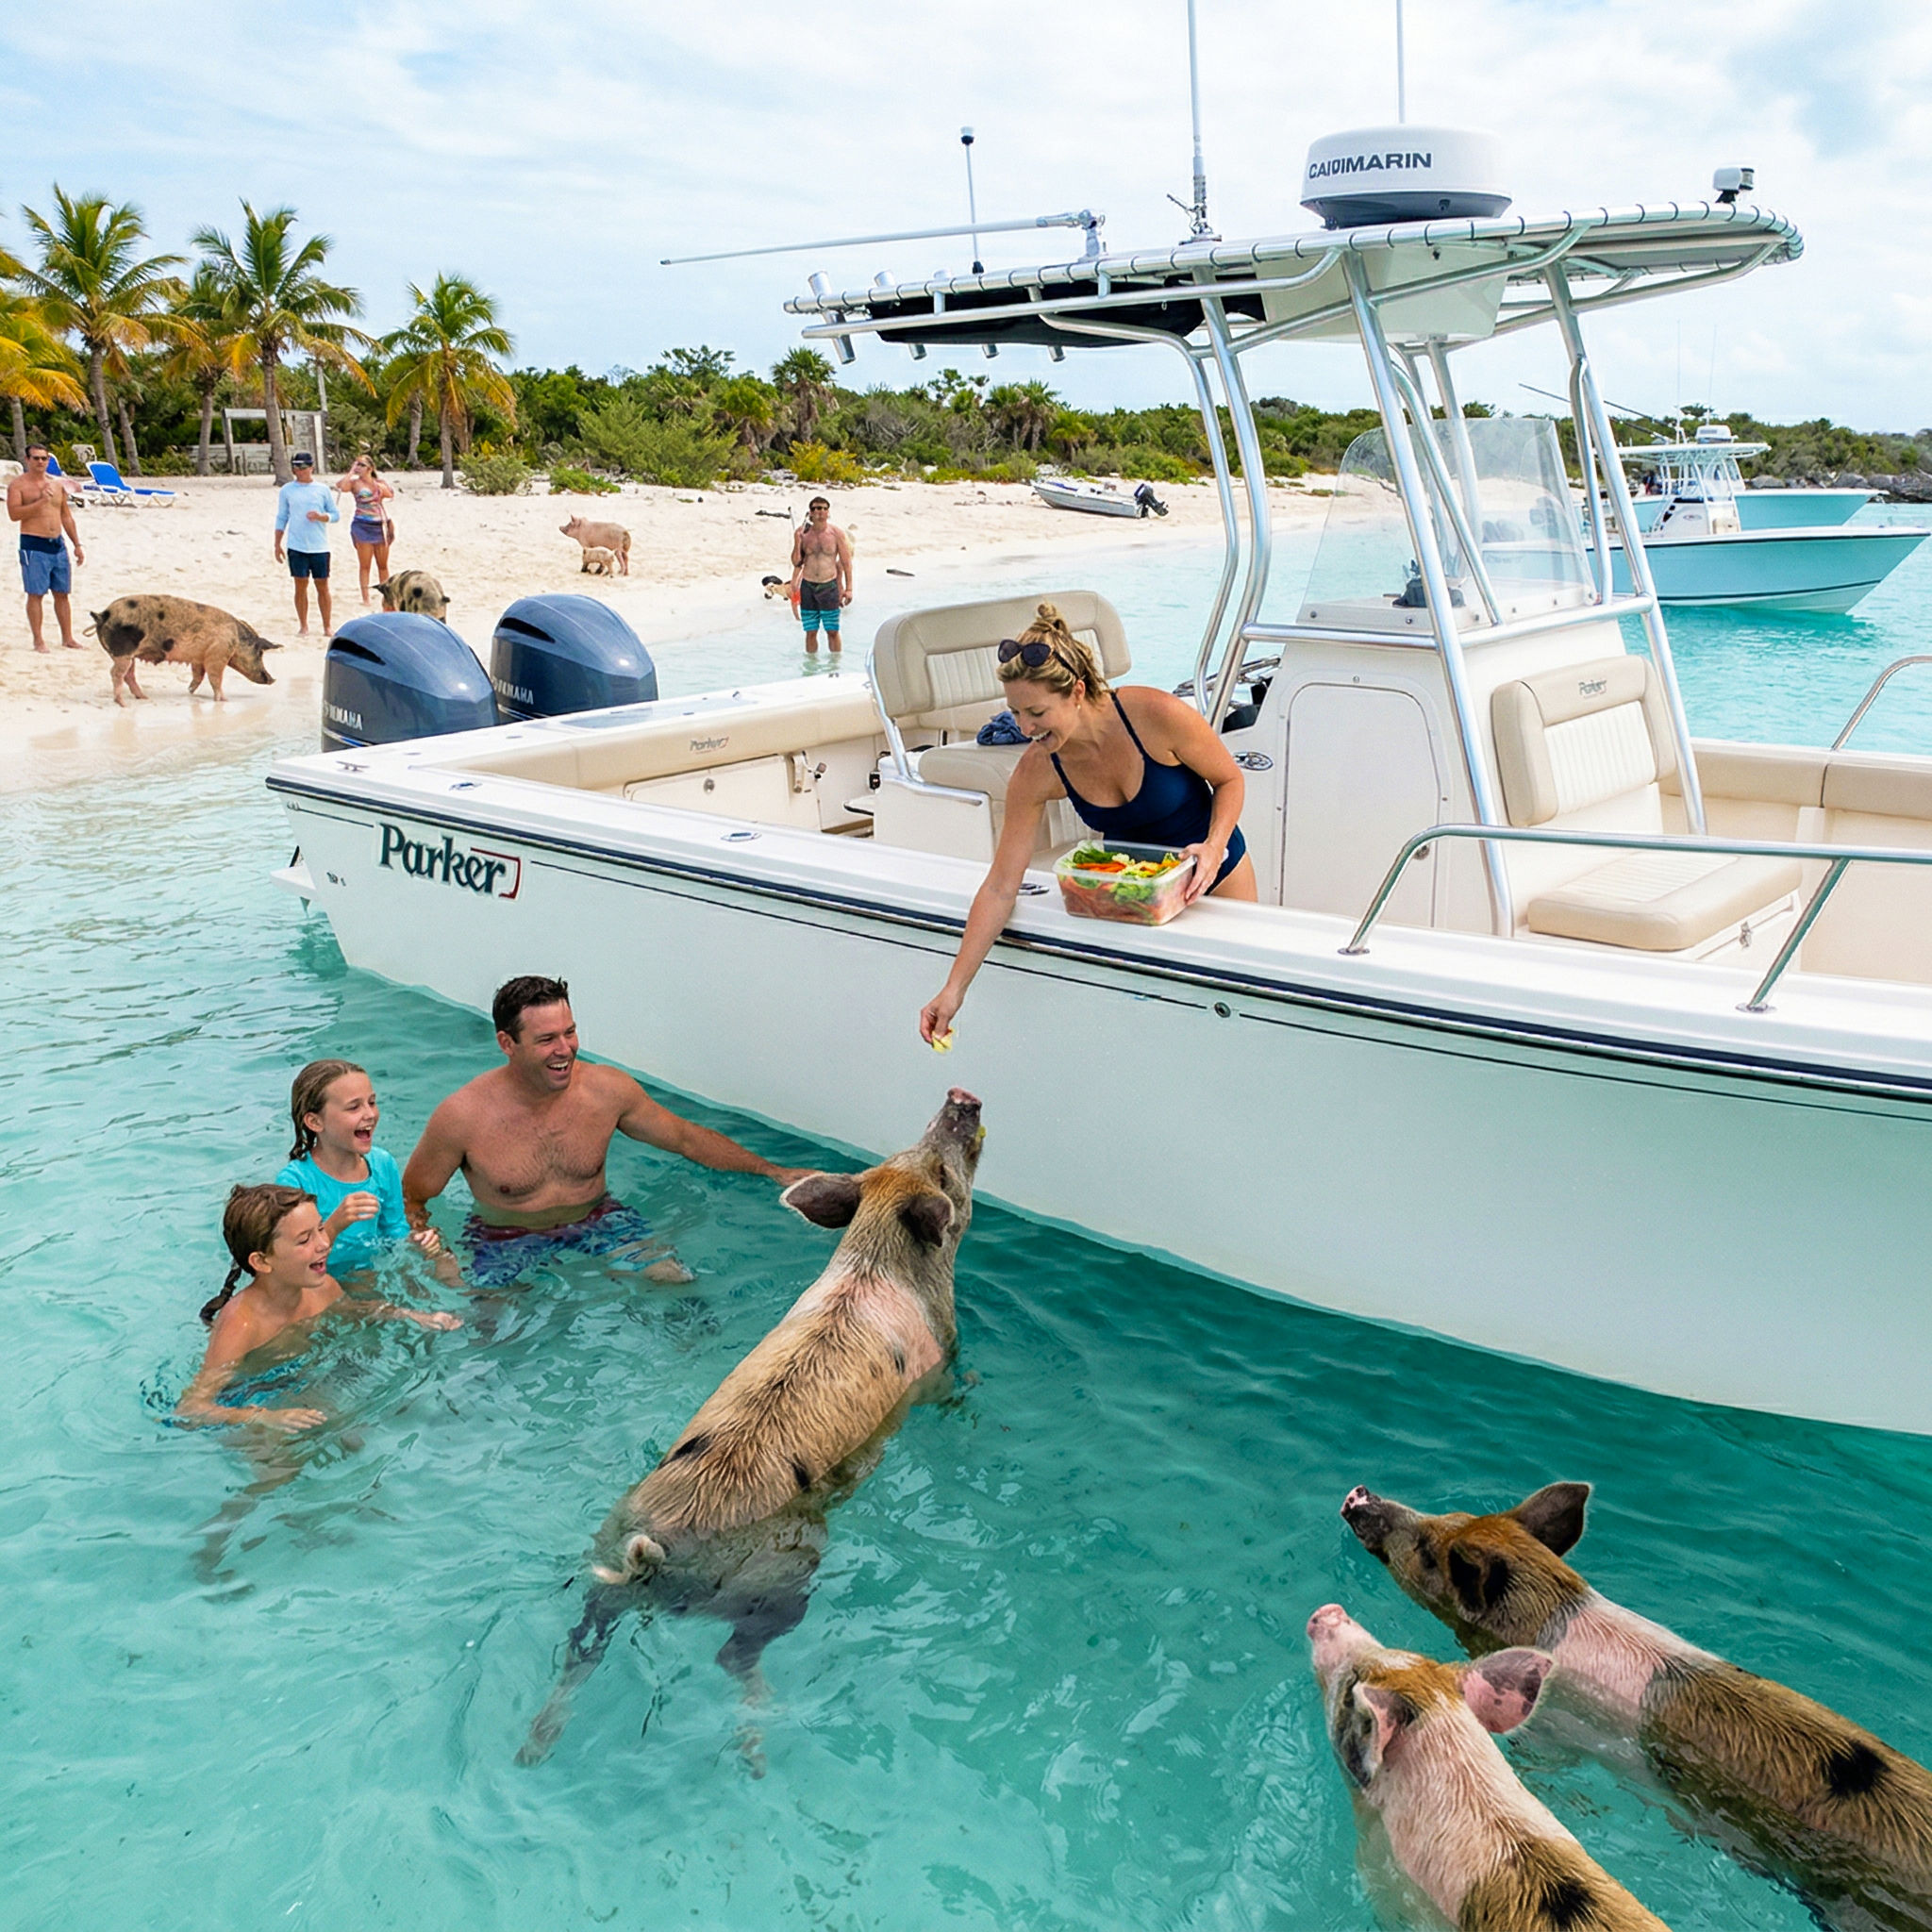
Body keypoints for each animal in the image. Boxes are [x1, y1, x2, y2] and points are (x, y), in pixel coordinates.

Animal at [89, 594, 280, 706]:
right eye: (260, 652)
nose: (272, 679)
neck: (236, 640)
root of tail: (103, 615)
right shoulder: (218, 654)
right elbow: (215, 677)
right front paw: (224, 700)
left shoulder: (199, 658)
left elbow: (199, 675)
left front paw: (190, 690)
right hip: (124, 652)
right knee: (116, 673)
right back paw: (122, 703)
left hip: (130, 655)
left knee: (129, 674)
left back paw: (143, 698)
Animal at [517, 1089, 985, 1768]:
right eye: (944, 1175)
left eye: (907, 1150)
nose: (961, 1098)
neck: (877, 1263)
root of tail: (653, 1551)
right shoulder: (940, 1355)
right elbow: (955, 1385)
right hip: (784, 1574)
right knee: (734, 1653)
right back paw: (758, 1751)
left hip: (600, 1561)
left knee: (581, 1647)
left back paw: (534, 1748)